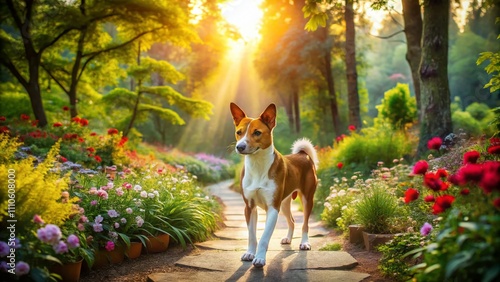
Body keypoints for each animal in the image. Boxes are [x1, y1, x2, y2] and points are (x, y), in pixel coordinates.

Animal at [229, 102, 318, 268]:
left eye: (257, 132)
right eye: (239, 132)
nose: (240, 147)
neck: (258, 165)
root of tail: (303, 154)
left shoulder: (272, 208)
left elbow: (264, 237)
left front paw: (259, 258)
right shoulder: (249, 207)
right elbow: (251, 235)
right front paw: (250, 253)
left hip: (306, 199)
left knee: (305, 224)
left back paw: (304, 243)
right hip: (284, 203)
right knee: (292, 221)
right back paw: (288, 238)